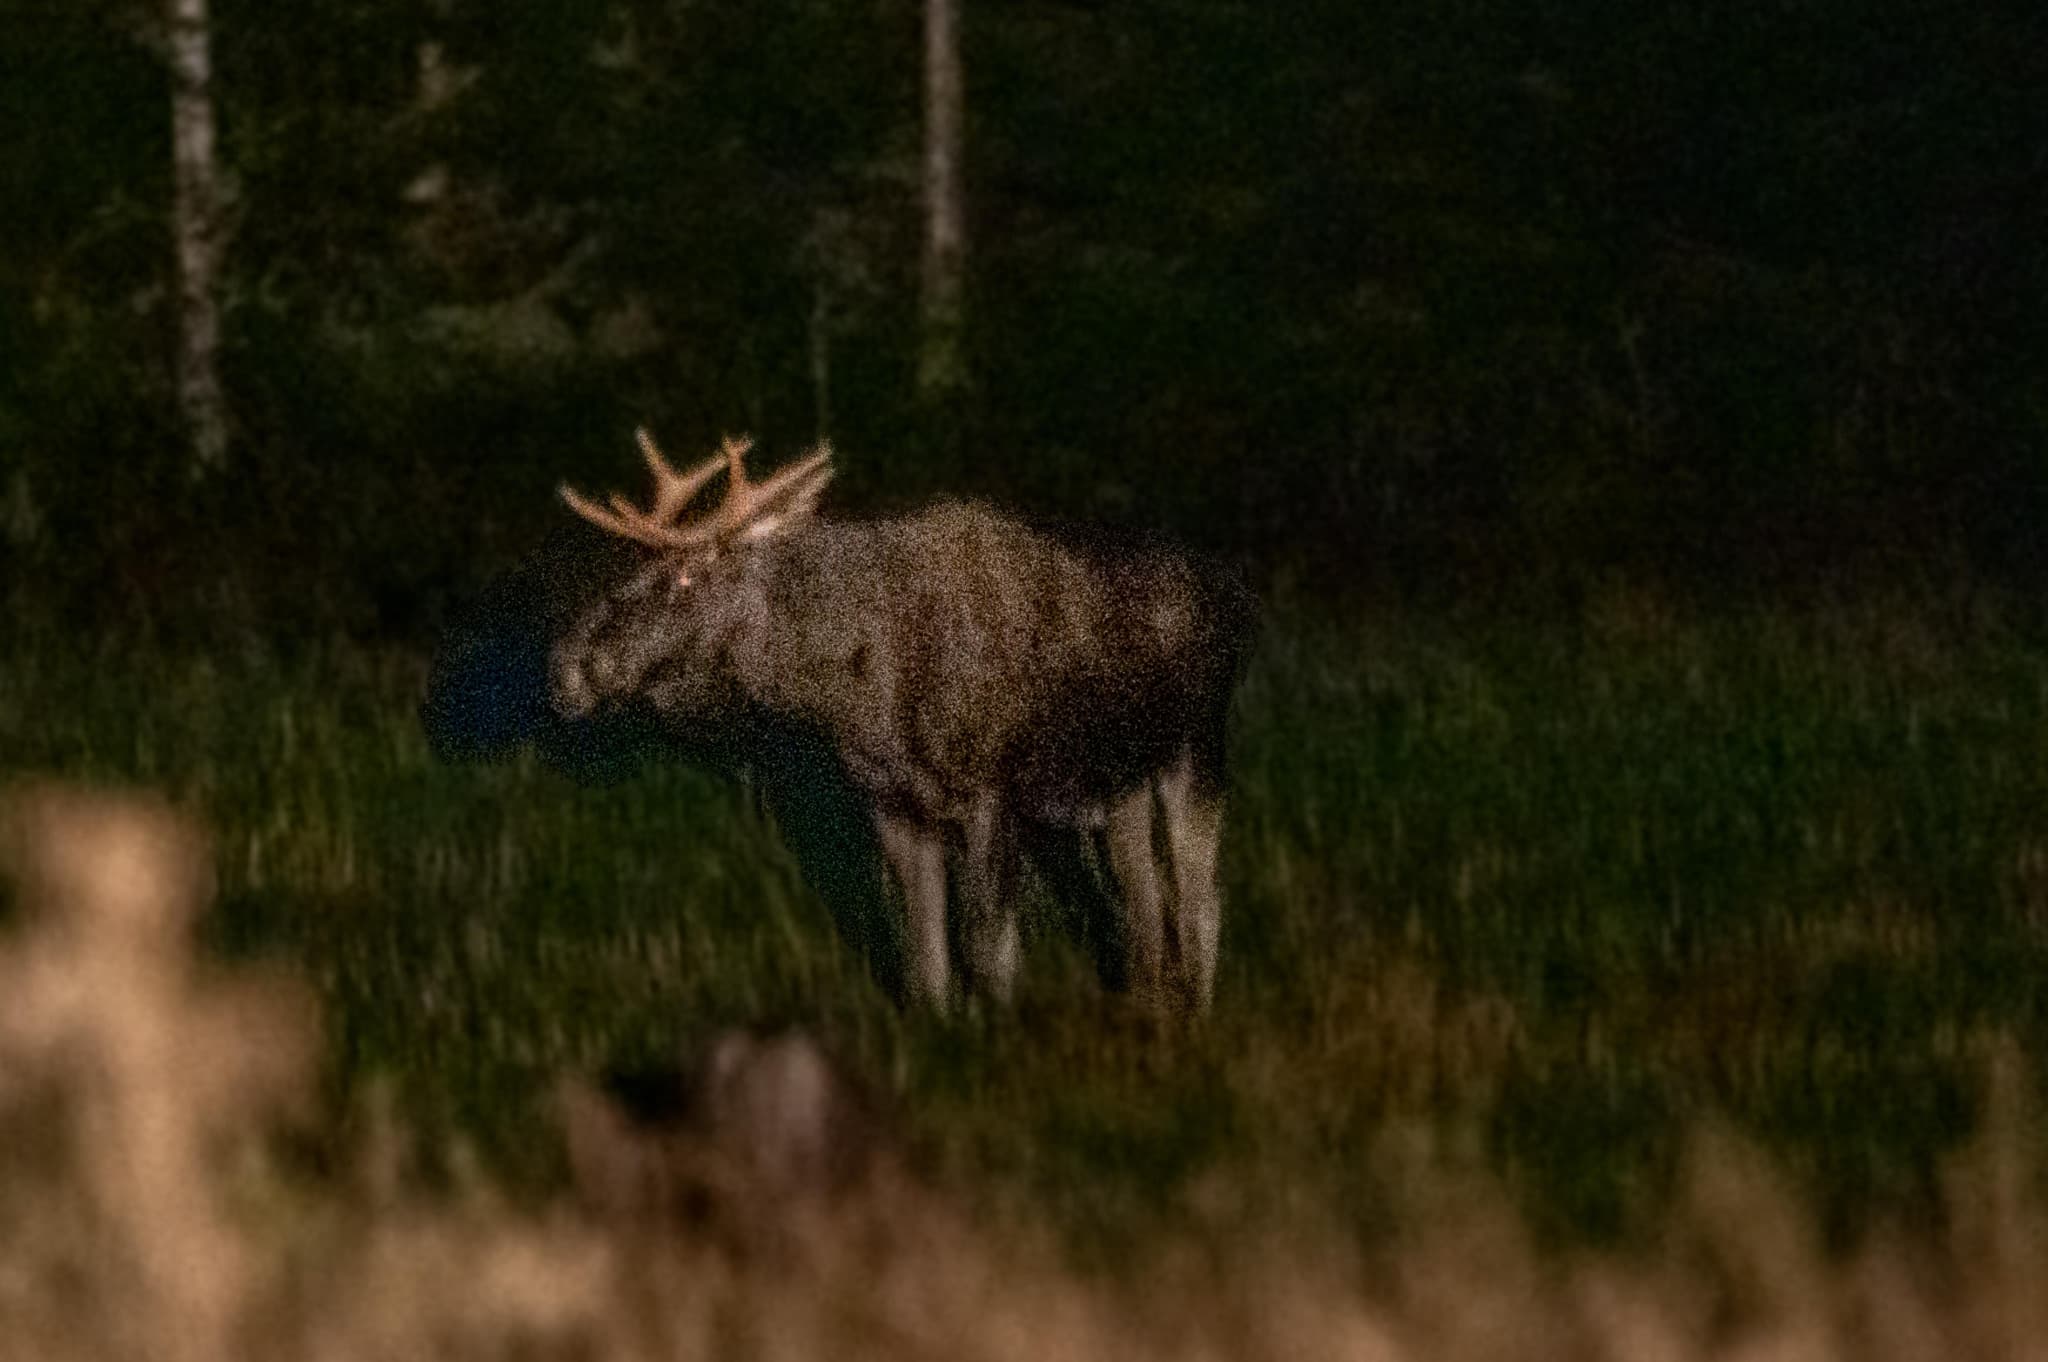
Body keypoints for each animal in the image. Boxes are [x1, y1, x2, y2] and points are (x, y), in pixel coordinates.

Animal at [547, 430, 1256, 1015]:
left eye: (685, 578)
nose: (566, 669)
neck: (854, 686)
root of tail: (1233, 592)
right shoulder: (891, 804)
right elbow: (925, 956)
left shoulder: (988, 795)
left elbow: (990, 953)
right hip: (1120, 780)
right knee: (1145, 893)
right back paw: (1148, 1004)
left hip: (1198, 743)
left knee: (1199, 889)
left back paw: (1194, 1014)